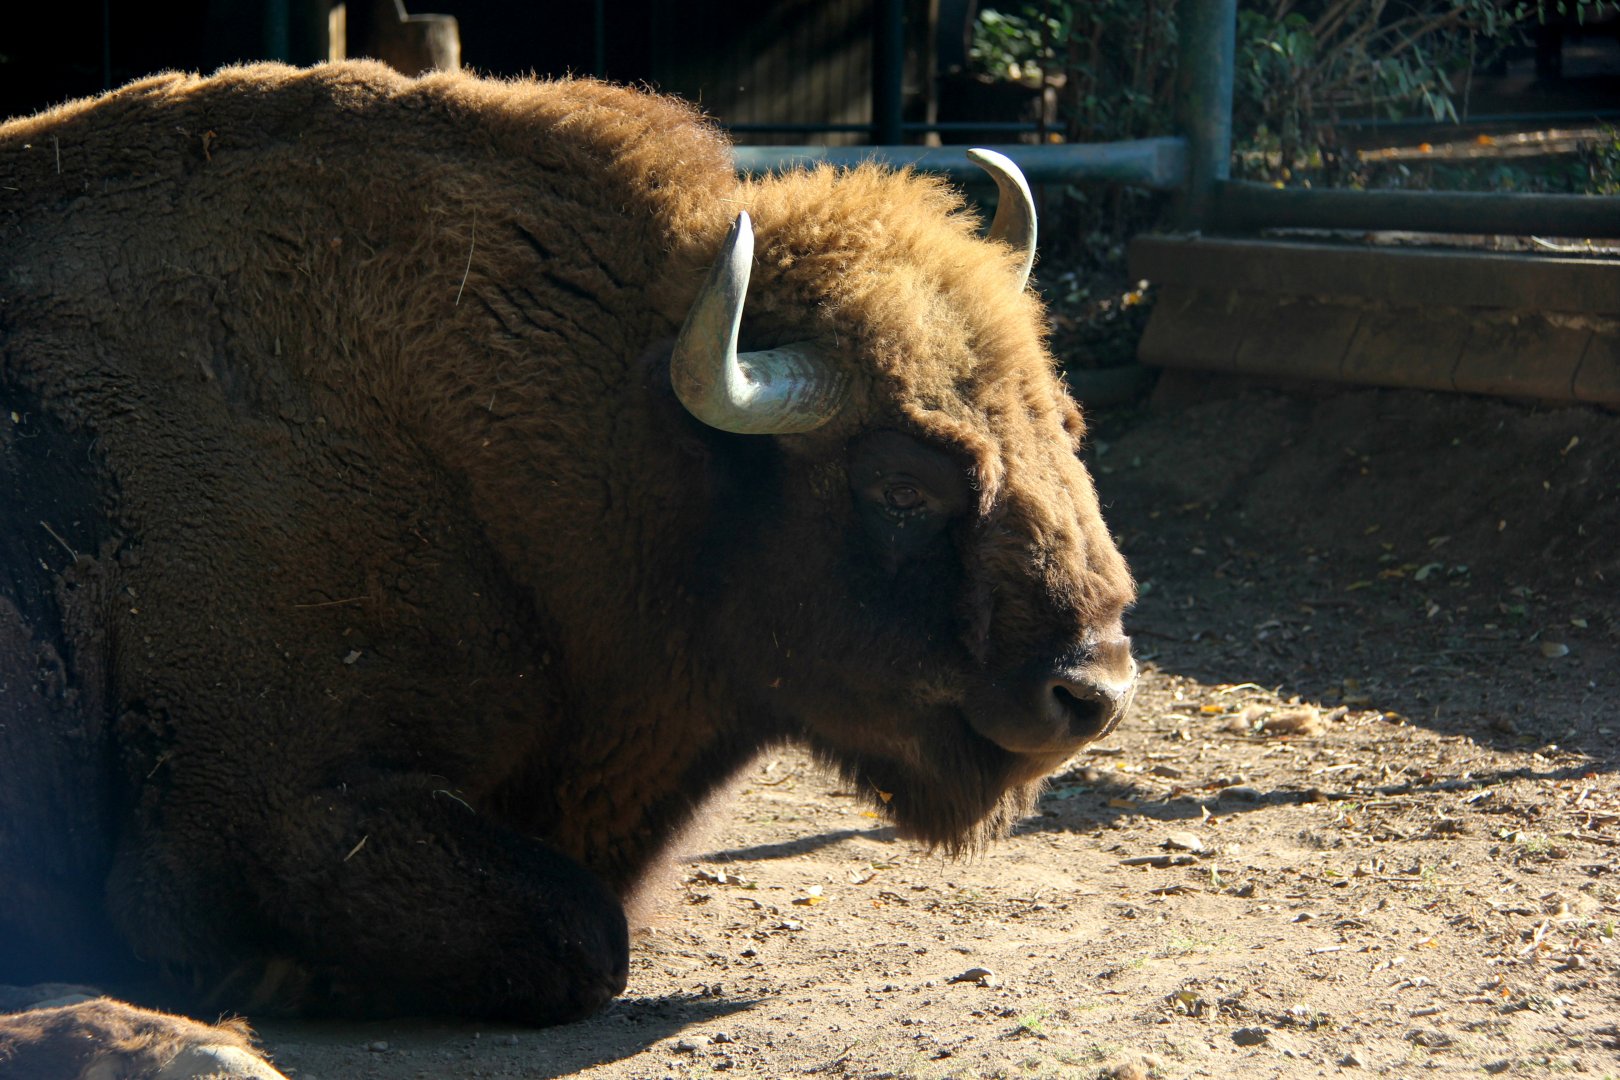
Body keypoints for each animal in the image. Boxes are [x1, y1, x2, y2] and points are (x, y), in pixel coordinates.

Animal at [0, 61, 1135, 1076]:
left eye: (1067, 426)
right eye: (900, 484)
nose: (1095, 687)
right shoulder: (262, 812)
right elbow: (587, 936)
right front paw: (272, 978)